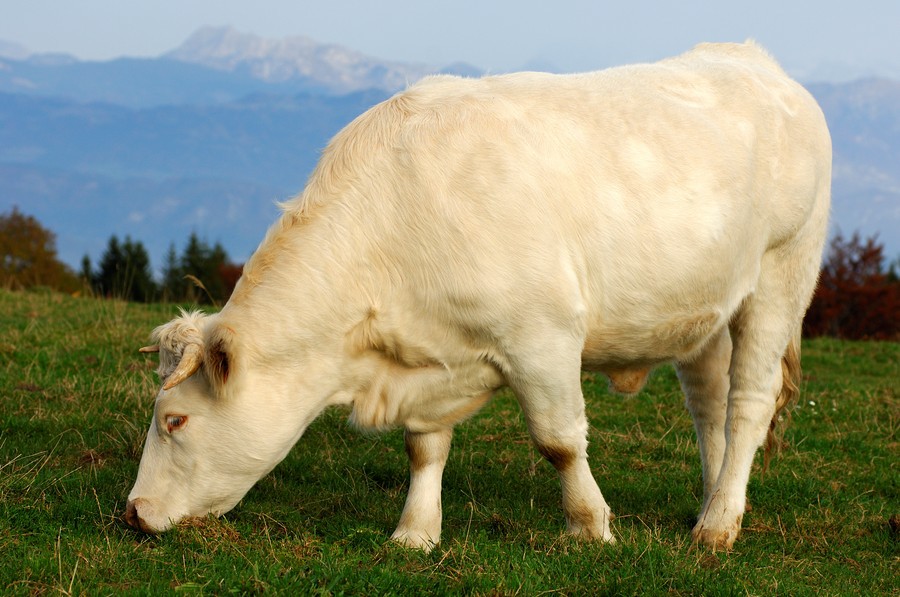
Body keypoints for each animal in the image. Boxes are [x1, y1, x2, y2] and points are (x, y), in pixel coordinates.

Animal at [125, 42, 828, 552]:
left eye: (175, 420)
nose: (133, 513)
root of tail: (750, 57)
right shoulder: (427, 354)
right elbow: (424, 445)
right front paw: (414, 534)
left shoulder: (543, 336)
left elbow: (559, 440)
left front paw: (591, 527)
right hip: (706, 310)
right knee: (710, 407)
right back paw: (712, 505)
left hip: (782, 274)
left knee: (748, 403)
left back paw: (719, 529)